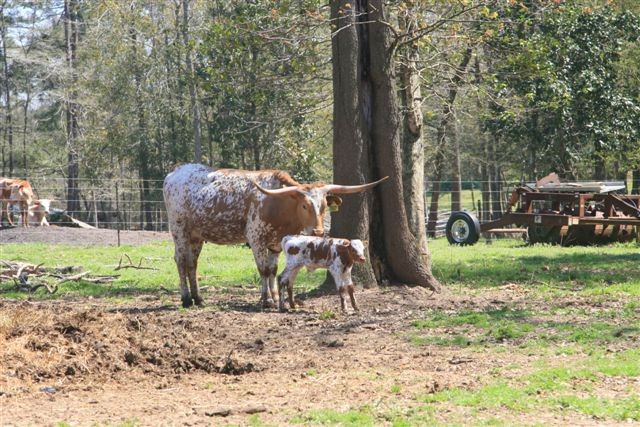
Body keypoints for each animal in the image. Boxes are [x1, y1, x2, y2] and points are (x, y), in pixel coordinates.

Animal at [163, 163, 387, 309]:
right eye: (304, 205)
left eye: (324, 206)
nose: (318, 232)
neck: (278, 204)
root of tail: (174, 173)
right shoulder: (256, 239)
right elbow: (263, 270)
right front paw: (267, 300)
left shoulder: (276, 244)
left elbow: (272, 270)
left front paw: (276, 296)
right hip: (179, 229)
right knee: (181, 260)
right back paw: (185, 299)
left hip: (196, 235)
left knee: (192, 263)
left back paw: (198, 298)